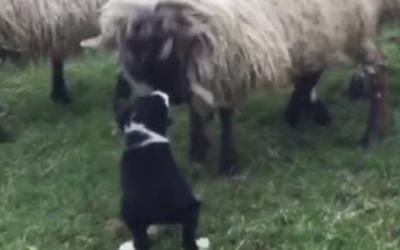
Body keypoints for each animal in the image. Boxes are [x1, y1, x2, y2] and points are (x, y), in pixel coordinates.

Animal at [83, 0, 396, 176]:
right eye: (139, 67)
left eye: (165, 50)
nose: (175, 98)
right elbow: (201, 110)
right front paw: (198, 149)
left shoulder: (225, 57)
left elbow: (224, 113)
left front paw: (226, 163)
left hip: (348, 26)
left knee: (378, 72)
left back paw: (373, 134)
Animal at [114, 90, 202, 250]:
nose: (161, 92)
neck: (145, 131)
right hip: (192, 210)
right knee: (188, 233)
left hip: (130, 211)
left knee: (141, 240)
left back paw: (129, 245)